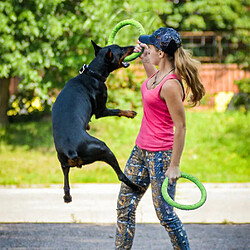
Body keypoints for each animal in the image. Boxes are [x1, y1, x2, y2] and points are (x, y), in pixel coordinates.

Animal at [52, 40, 143, 202]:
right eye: (120, 49)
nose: (133, 46)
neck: (92, 74)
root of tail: (71, 150)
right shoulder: (101, 110)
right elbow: (116, 110)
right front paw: (130, 113)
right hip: (104, 149)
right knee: (120, 175)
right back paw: (137, 187)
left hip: (62, 162)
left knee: (66, 184)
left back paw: (67, 197)